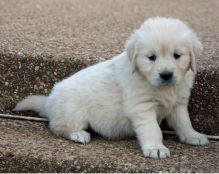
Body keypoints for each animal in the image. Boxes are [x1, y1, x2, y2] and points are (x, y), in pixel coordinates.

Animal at [13, 17, 209, 159]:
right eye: (151, 57)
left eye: (177, 55)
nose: (166, 75)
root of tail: (48, 101)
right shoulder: (142, 107)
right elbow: (152, 129)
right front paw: (156, 148)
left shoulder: (178, 104)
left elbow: (184, 122)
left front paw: (193, 136)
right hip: (73, 111)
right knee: (57, 126)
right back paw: (78, 134)